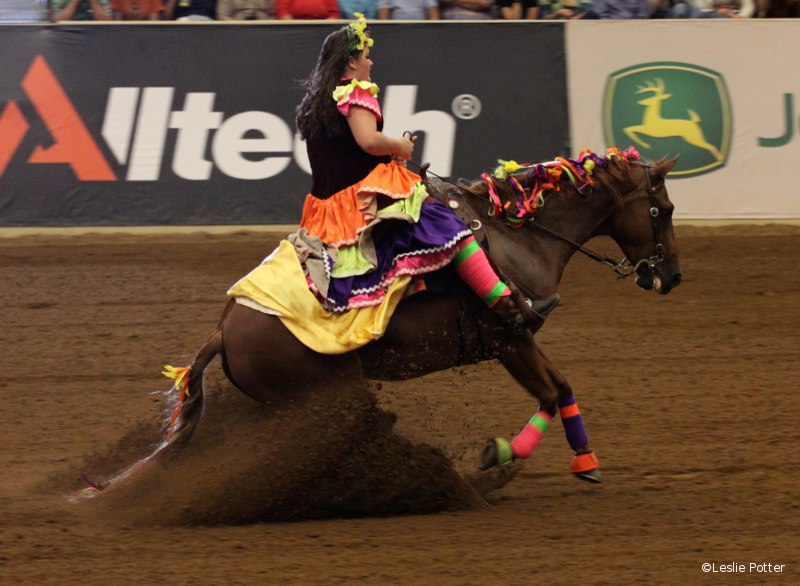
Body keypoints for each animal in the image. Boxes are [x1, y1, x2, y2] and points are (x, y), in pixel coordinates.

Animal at [166, 147, 680, 484]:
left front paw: (585, 460)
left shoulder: (523, 341)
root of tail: (223, 330)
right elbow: (551, 394)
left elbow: (564, 387)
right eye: (664, 209)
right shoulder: (509, 340)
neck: (520, 239)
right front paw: (498, 458)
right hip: (317, 399)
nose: (672, 276)